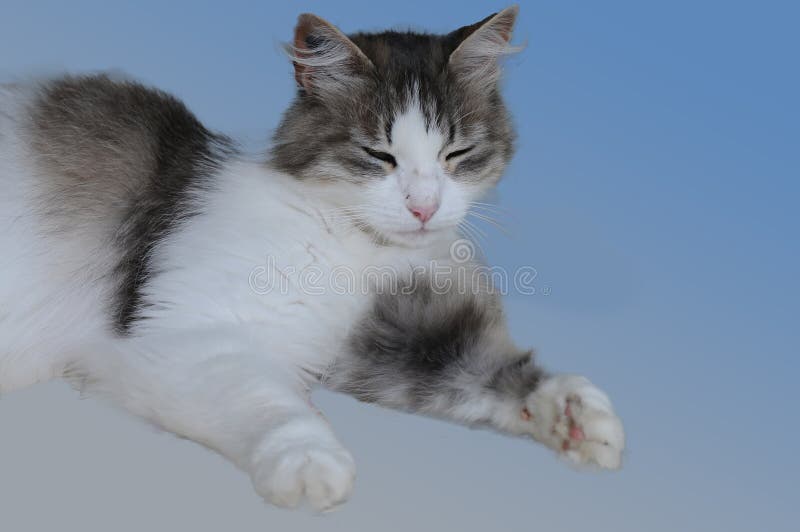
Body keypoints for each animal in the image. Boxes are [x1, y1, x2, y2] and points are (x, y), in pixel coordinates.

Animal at [0, 5, 624, 512]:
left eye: (458, 153)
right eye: (378, 156)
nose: (423, 207)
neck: (355, 250)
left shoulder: (386, 339)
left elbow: (495, 373)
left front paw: (573, 415)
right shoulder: (180, 336)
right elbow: (273, 405)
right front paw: (309, 465)